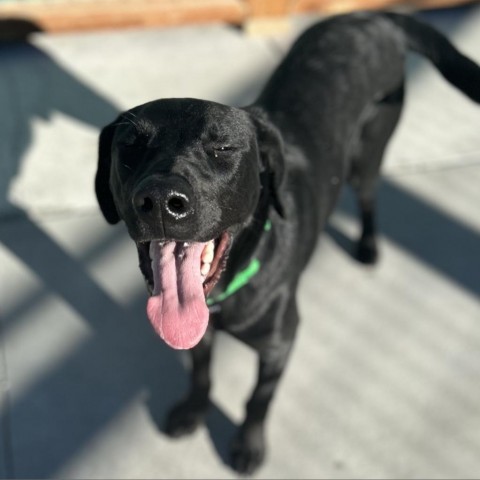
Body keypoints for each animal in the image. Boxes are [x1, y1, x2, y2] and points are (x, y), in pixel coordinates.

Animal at [94, 13, 480, 474]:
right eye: (130, 145)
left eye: (223, 146)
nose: (160, 201)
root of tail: (369, 16)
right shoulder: (201, 337)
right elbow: (201, 372)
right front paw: (193, 411)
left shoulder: (281, 342)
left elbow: (259, 398)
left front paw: (249, 445)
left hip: (368, 157)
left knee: (369, 198)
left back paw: (368, 247)